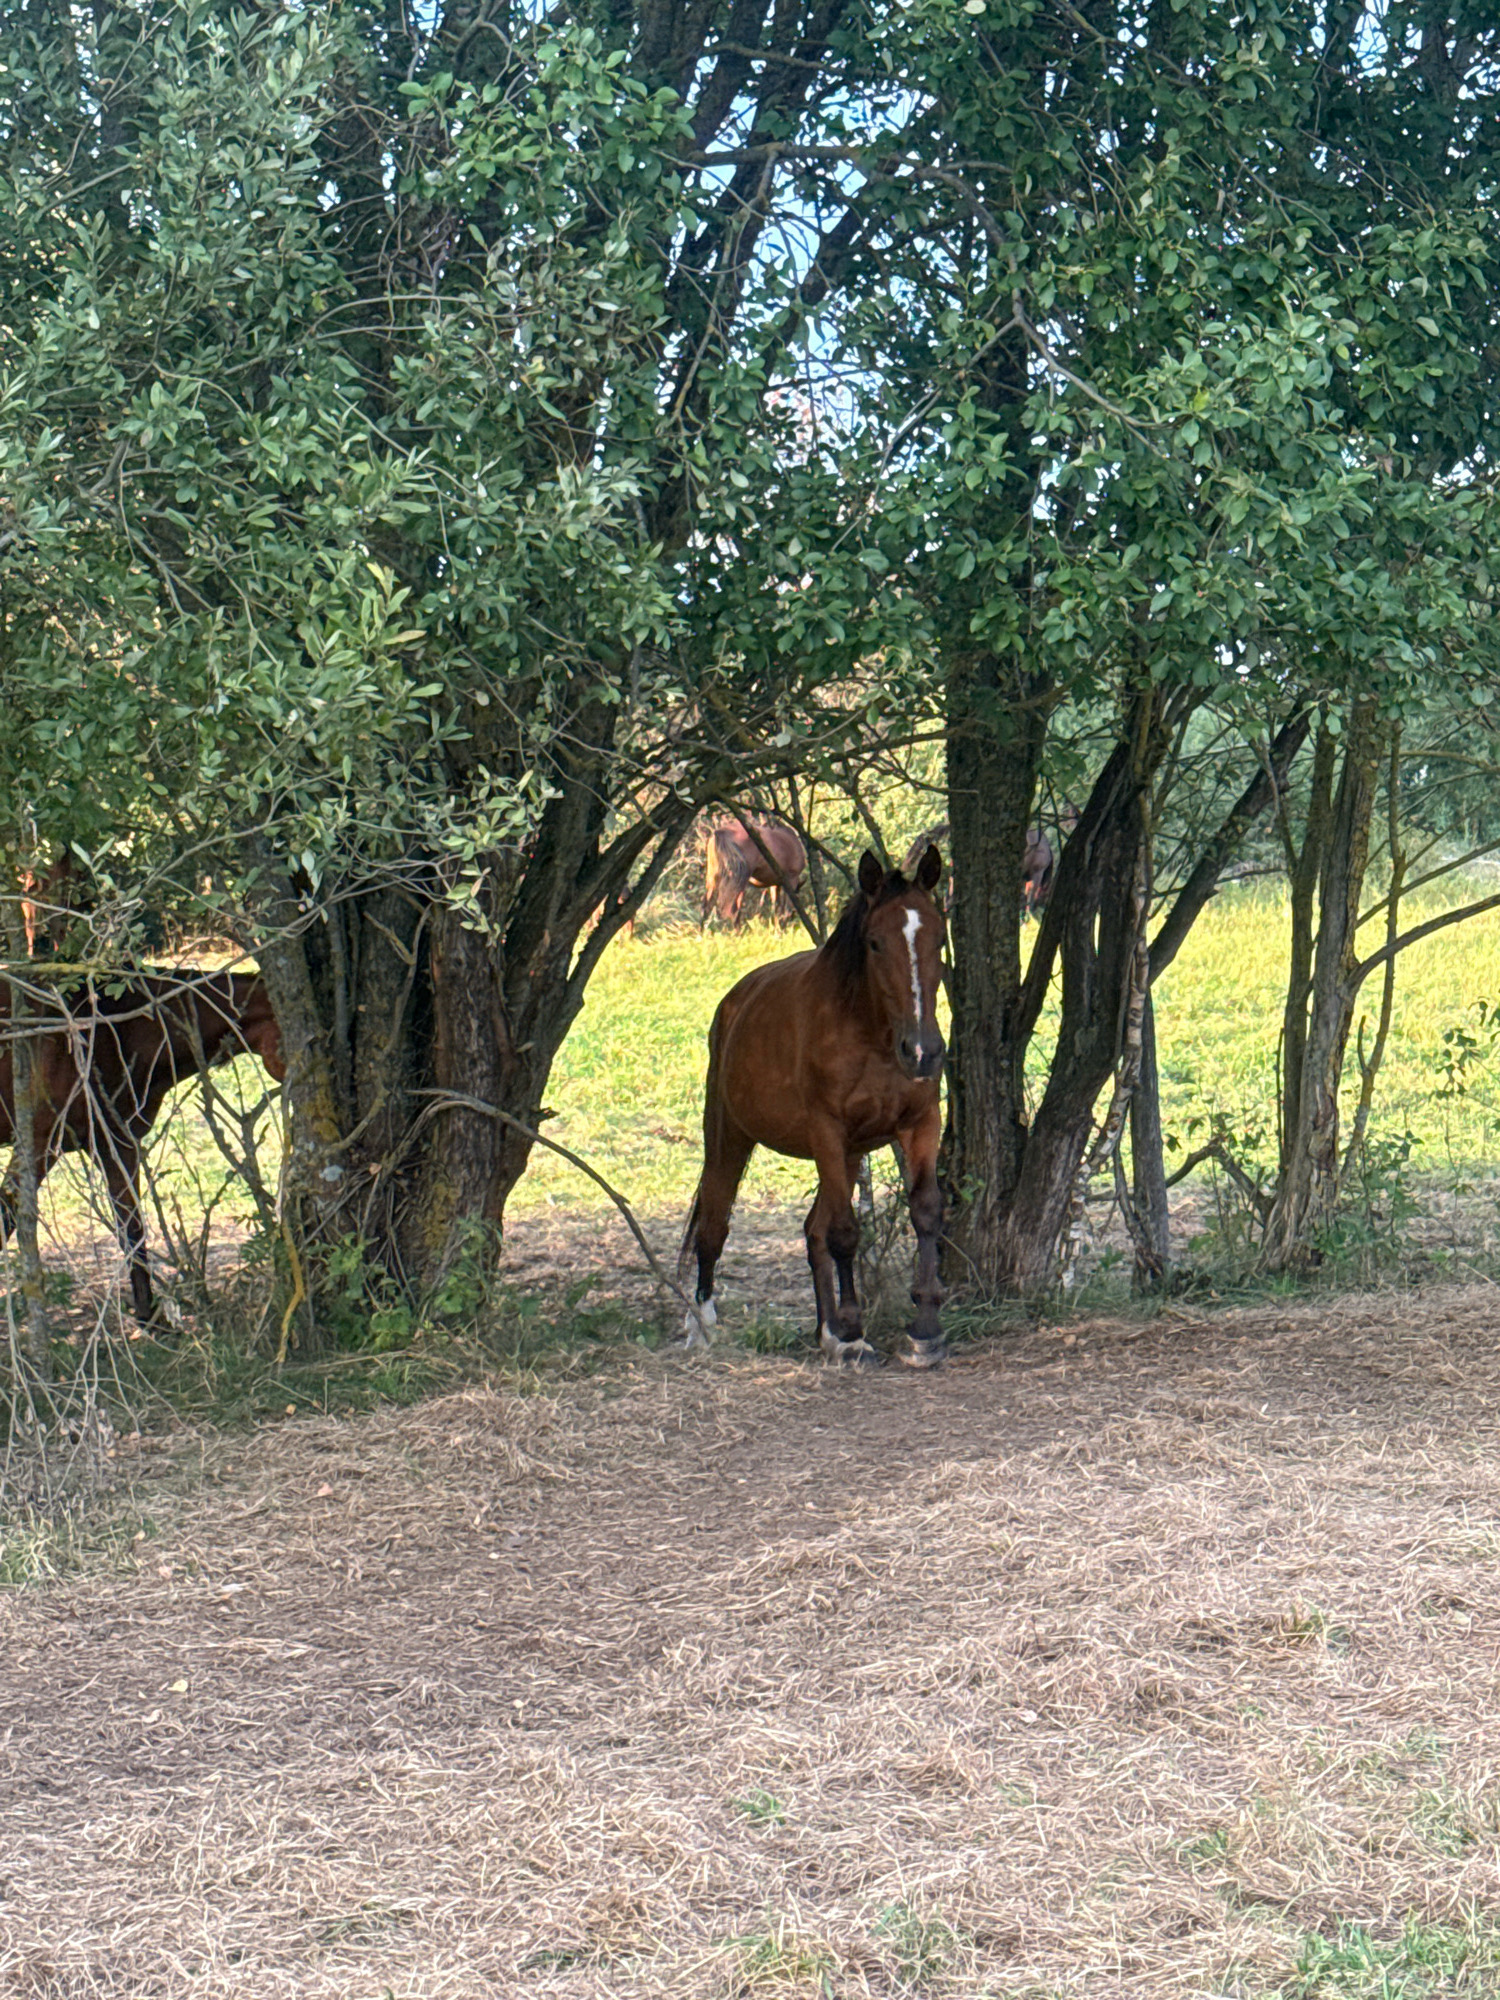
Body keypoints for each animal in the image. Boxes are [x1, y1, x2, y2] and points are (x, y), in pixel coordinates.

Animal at [0, 970, 285, 1323]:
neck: (119, 1029)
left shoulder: (118, 1143)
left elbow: (132, 1231)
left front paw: (149, 1317)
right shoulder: (39, 1144)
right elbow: (6, 1218)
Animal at [682, 846, 948, 1368]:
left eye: (939, 938)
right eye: (874, 943)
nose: (923, 1051)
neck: (872, 1036)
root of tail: (733, 1004)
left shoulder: (921, 1123)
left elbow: (924, 1211)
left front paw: (923, 1330)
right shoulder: (828, 1130)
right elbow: (844, 1232)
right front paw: (855, 1333)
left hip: (847, 1153)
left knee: (811, 1229)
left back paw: (826, 1331)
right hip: (729, 1135)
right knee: (714, 1222)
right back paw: (702, 1322)